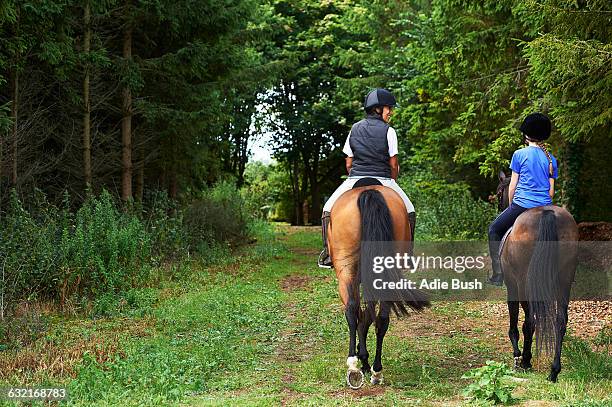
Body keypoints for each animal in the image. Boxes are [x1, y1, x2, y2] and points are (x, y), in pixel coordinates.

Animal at [328, 183, 428, 390]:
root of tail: (368, 192)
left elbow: (361, 315)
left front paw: (362, 358)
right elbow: (368, 316)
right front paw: (365, 358)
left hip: (346, 270)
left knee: (351, 311)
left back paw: (354, 366)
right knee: (381, 319)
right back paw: (376, 370)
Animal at [498, 171, 580, 382]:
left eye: (499, 192)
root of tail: (547, 213)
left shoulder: (512, 285)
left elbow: (516, 321)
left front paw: (518, 356)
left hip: (524, 283)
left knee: (530, 321)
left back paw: (526, 360)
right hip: (564, 280)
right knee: (560, 321)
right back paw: (554, 371)